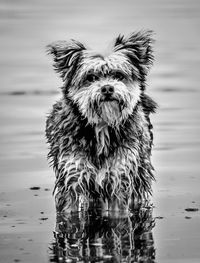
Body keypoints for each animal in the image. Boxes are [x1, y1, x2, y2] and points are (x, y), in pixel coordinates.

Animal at [46, 29, 157, 213]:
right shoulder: (72, 176)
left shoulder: (120, 177)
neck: (102, 125)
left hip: (141, 170)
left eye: (118, 75)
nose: (107, 88)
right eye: (90, 77)